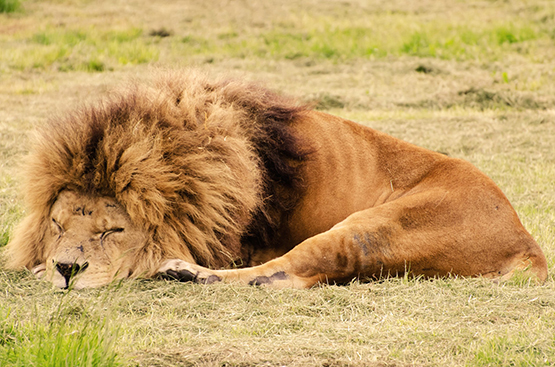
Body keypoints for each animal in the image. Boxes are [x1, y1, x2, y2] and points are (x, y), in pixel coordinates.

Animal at [2, 71, 548, 290]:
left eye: (114, 230)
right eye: (56, 224)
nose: (67, 270)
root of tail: (526, 240)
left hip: (377, 226)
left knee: (286, 273)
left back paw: (185, 272)